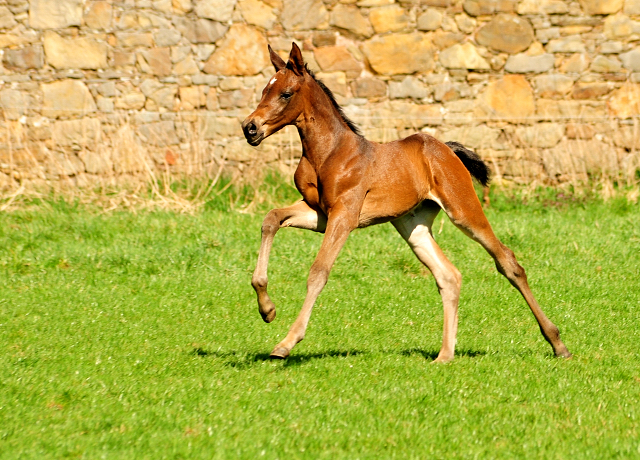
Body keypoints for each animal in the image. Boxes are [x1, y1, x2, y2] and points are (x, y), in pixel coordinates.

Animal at [242, 45, 572, 364]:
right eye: (263, 90)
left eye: (286, 93)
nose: (250, 128)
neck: (328, 152)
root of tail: (446, 149)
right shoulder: (320, 213)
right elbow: (271, 219)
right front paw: (267, 310)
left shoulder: (344, 215)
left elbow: (319, 271)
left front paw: (285, 343)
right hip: (413, 225)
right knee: (448, 276)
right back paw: (444, 356)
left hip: (463, 210)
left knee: (507, 261)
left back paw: (557, 344)